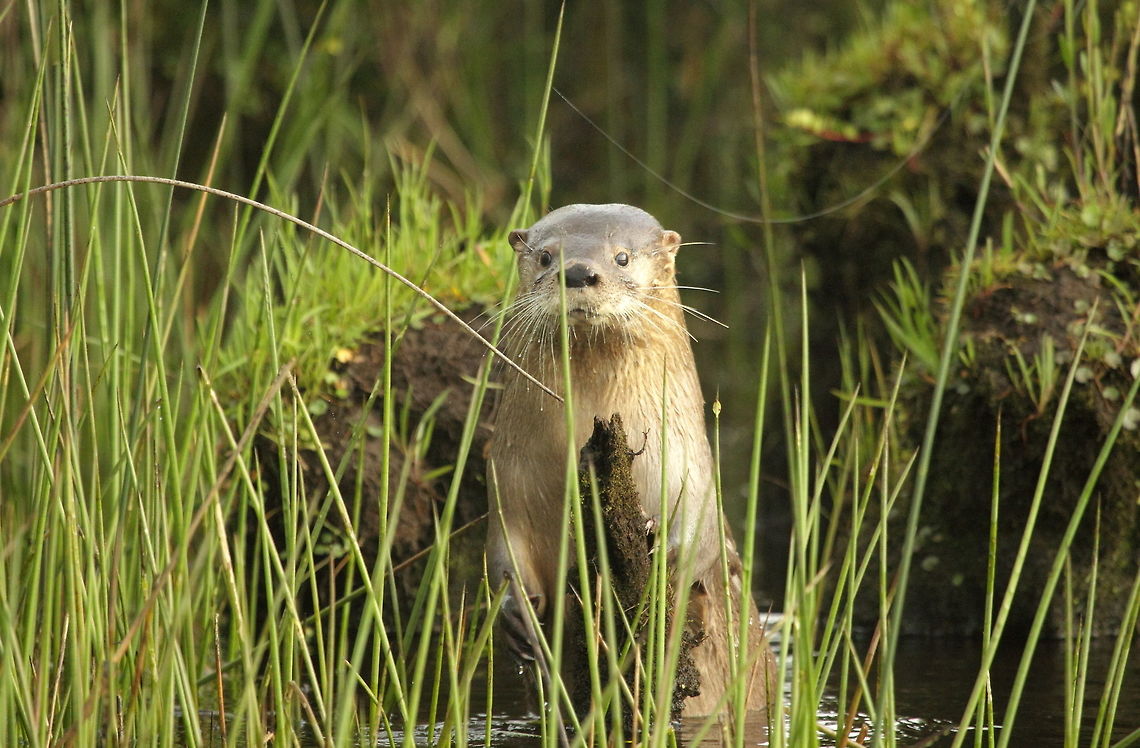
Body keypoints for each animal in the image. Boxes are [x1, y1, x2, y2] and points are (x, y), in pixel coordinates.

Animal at [485, 203, 773, 718]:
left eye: (621, 256)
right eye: (545, 256)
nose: (578, 272)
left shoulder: (690, 469)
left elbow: (699, 539)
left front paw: (660, 557)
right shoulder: (507, 478)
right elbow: (503, 551)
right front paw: (517, 615)